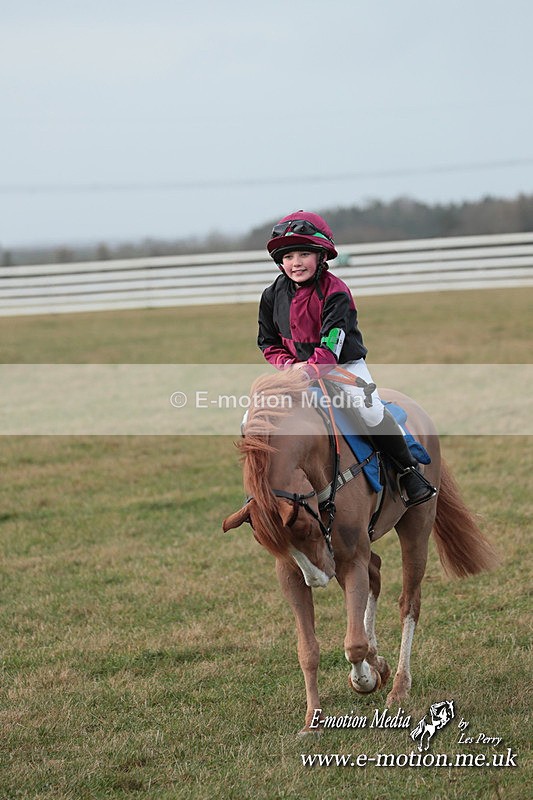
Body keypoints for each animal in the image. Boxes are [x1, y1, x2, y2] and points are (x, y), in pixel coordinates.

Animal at [222, 370, 499, 734]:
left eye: (304, 528)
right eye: (274, 544)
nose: (318, 580)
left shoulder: (350, 559)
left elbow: (353, 643)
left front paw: (364, 680)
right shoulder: (293, 573)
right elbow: (308, 649)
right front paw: (313, 719)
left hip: (414, 530)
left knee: (409, 603)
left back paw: (399, 685)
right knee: (376, 572)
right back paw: (379, 664)